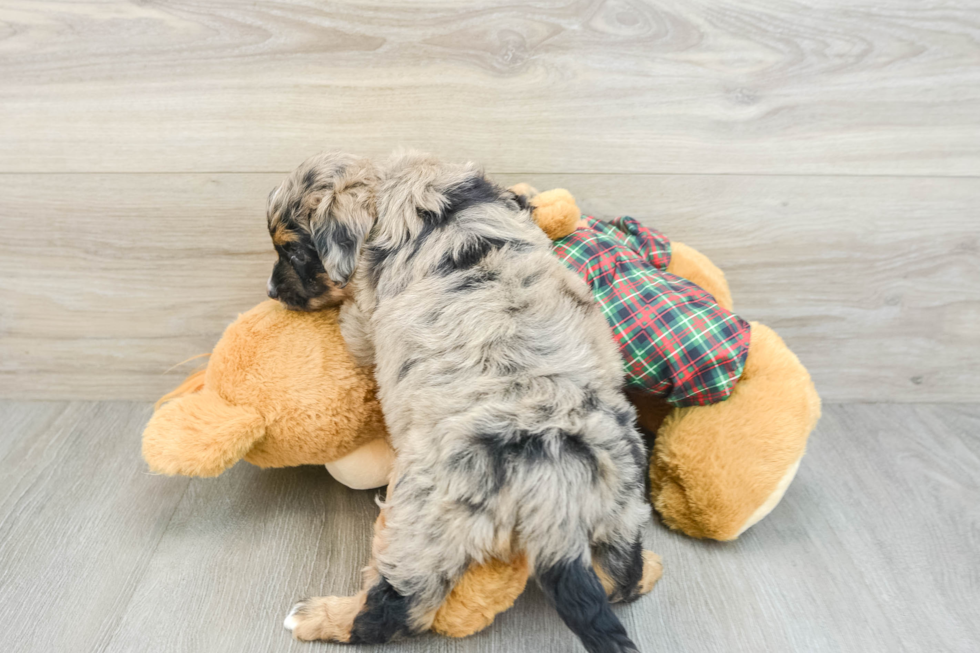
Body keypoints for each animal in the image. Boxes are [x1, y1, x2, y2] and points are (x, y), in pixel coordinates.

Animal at [272, 150, 664, 648]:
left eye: (294, 251)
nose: (270, 292)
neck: (430, 201)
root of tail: (551, 489)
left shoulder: (365, 314)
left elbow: (354, 328)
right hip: (621, 503)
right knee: (619, 577)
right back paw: (649, 569)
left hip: (421, 522)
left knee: (395, 610)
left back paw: (317, 616)